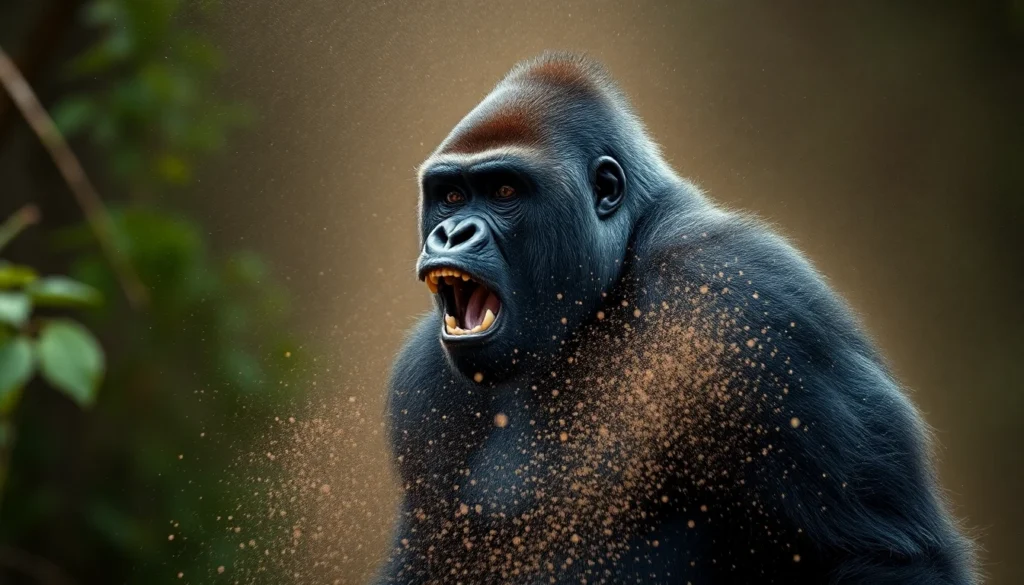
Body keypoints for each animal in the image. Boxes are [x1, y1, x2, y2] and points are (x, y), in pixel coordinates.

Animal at [376, 53, 976, 585]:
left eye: (504, 190)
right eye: (451, 196)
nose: (450, 233)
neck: (611, 280)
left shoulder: (748, 305)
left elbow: (887, 556)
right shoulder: (421, 382)